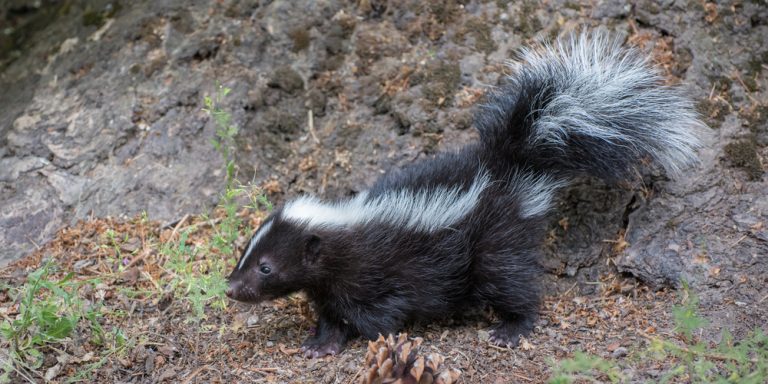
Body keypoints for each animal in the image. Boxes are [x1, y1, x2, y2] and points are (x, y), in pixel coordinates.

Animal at [224, 31, 704, 358]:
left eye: (266, 268)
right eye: (245, 254)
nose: (230, 288)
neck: (346, 231)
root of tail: (509, 166)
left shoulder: (381, 273)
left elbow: (382, 312)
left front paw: (370, 335)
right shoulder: (331, 284)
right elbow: (330, 313)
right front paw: (321, 343)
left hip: (494, 243)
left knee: (513, 283)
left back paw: (511, 329)